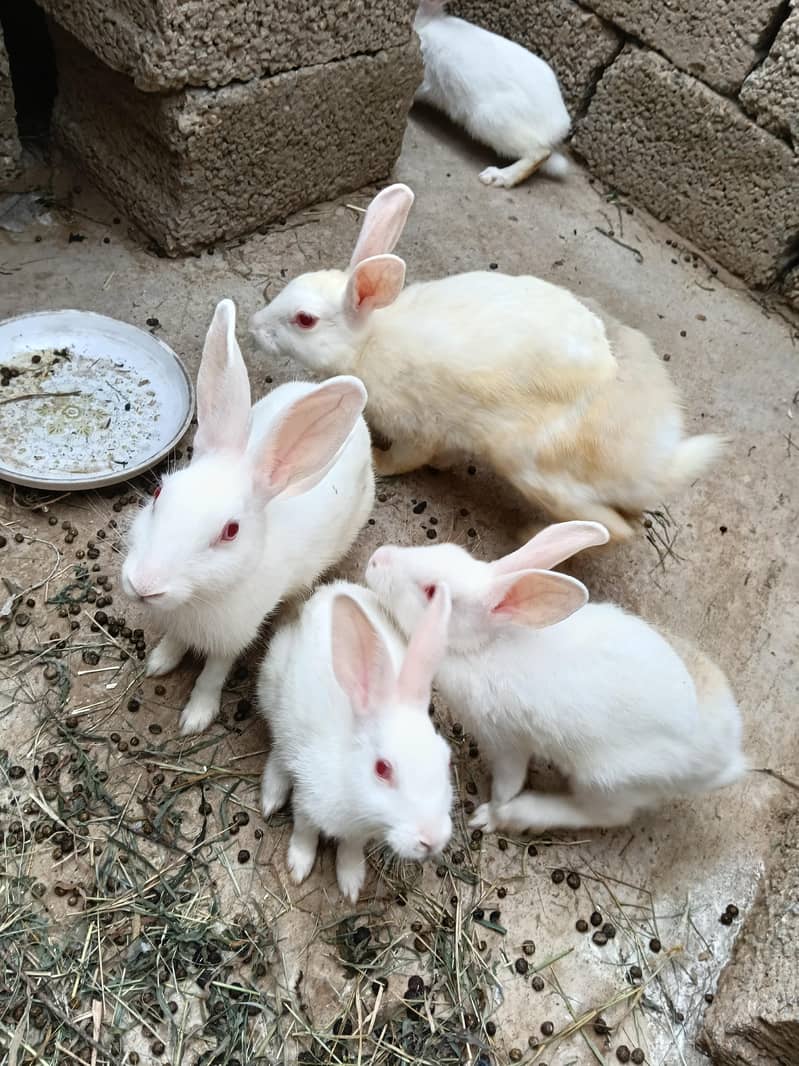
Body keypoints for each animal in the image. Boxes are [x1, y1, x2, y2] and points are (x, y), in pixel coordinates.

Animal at [121, 298, 375, 736]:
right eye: (158, 493)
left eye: (230, 531)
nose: (144, 585)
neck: (198, 599)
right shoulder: (177, 625)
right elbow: (173, 643)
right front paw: (159, 663)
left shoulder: (232, 638)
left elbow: (212, 675)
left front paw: (196, 717)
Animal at [250, 183, 722, 542]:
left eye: (304, 320)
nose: (254, 328)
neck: (367, 342)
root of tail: (655, 459)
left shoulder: (417, 427)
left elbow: (407, 457)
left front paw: (381, 463)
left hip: (534, 468)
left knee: (616, 530)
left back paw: (530, 535)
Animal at [257, 580, 453, 901]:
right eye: (382, 769)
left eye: (446, 760)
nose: (432, 839)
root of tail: (328, 590)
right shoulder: (307, 800)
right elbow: (304, 833)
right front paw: (298, 867)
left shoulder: (360, 833)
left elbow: (350, 849)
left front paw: (351, 883)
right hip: (273, 693)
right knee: (278, 747)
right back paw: (271, 796)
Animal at [365, 520, 746, 834]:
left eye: (431, 592)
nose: (375, 559)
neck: (483, 645)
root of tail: (724, 759)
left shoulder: (506, 741)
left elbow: (508, 781)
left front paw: (491, 815)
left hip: (606, 780)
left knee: (605, 816)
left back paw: (520, 815)